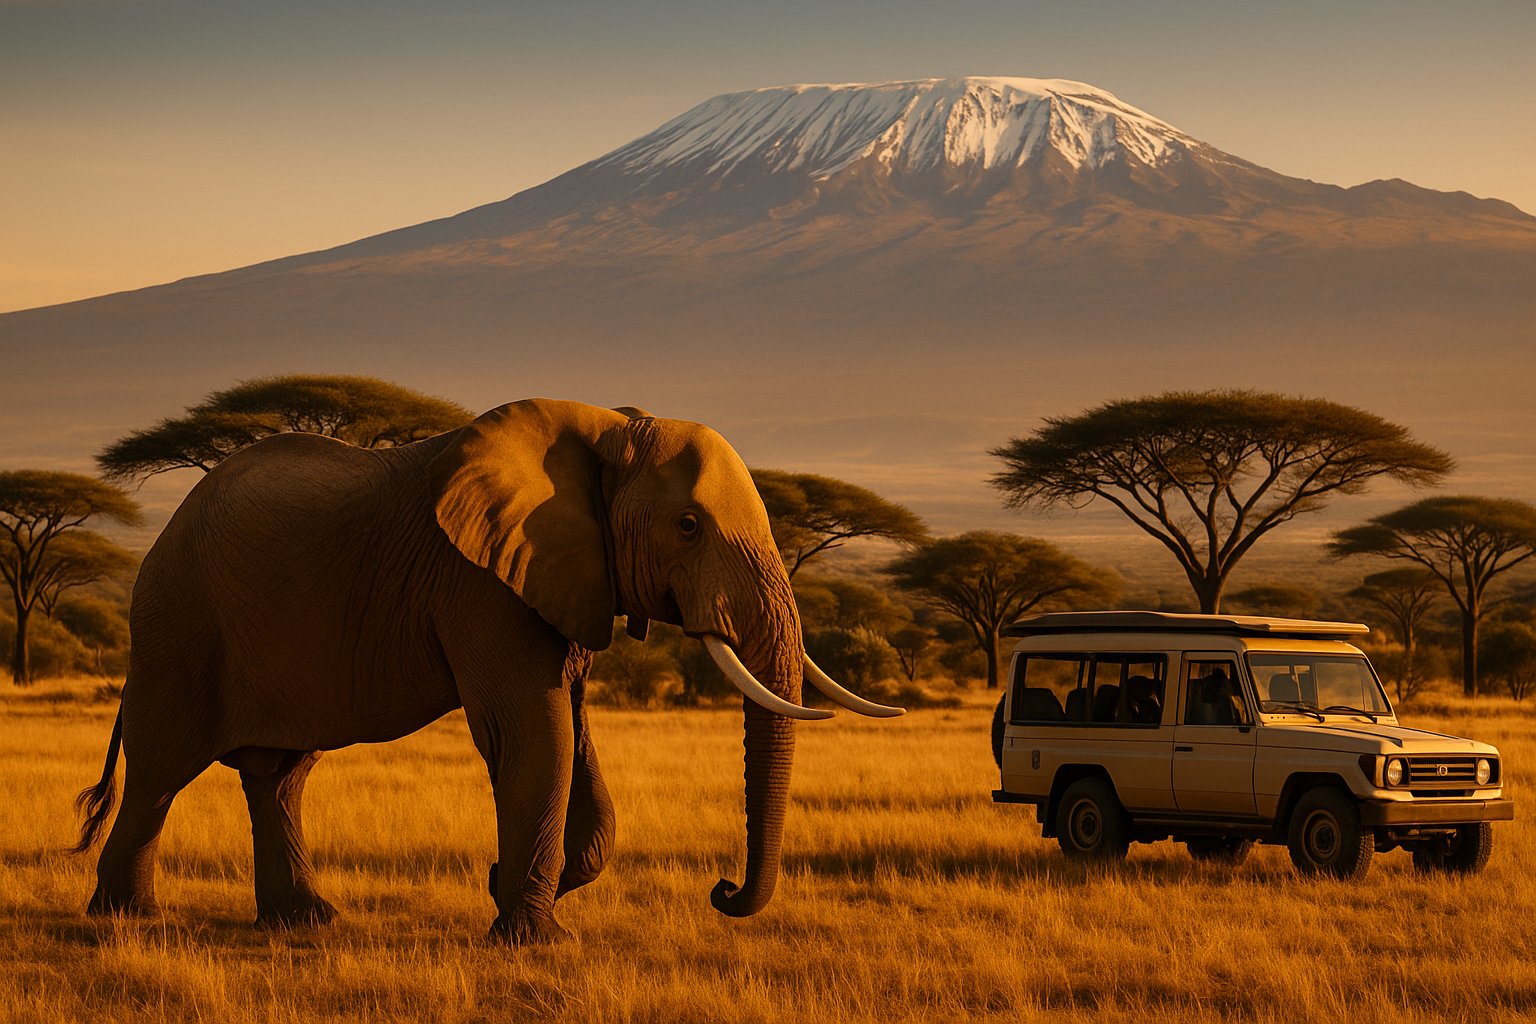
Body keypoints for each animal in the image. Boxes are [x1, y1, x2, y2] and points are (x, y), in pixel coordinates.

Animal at [72, 398, 902, 943]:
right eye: (689, 526)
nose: (723, 891)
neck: (610, 426)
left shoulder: (563, 576)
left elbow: (573, 734)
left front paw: (511, 892)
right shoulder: (482, 581)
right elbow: (534, 734)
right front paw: (532, 937)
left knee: (278, 774)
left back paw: (305, 921)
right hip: (180, 625)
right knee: (161, 771)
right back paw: (125, 918)